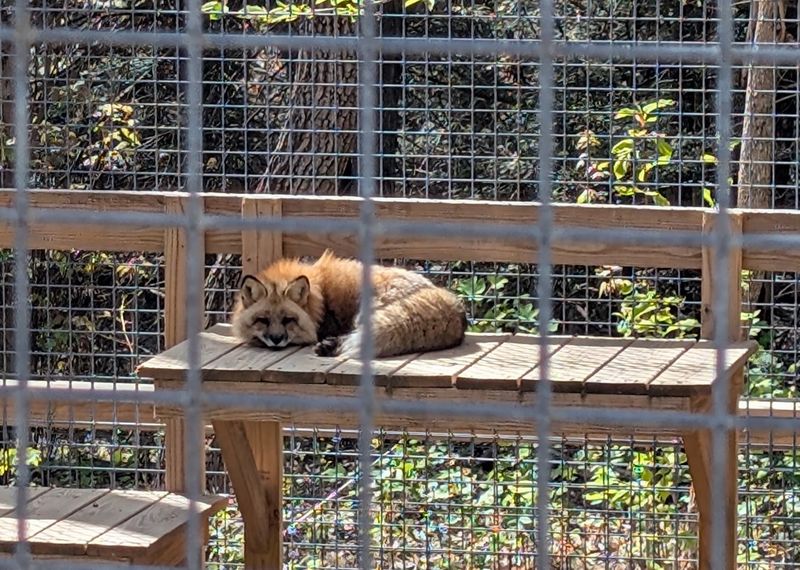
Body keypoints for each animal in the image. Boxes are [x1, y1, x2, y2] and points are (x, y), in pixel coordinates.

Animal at [231, 249, 468, 359]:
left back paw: (330, 346)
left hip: (367, 311)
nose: (276, 339)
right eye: (262, 320)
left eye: (289, 320)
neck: (319, 300)